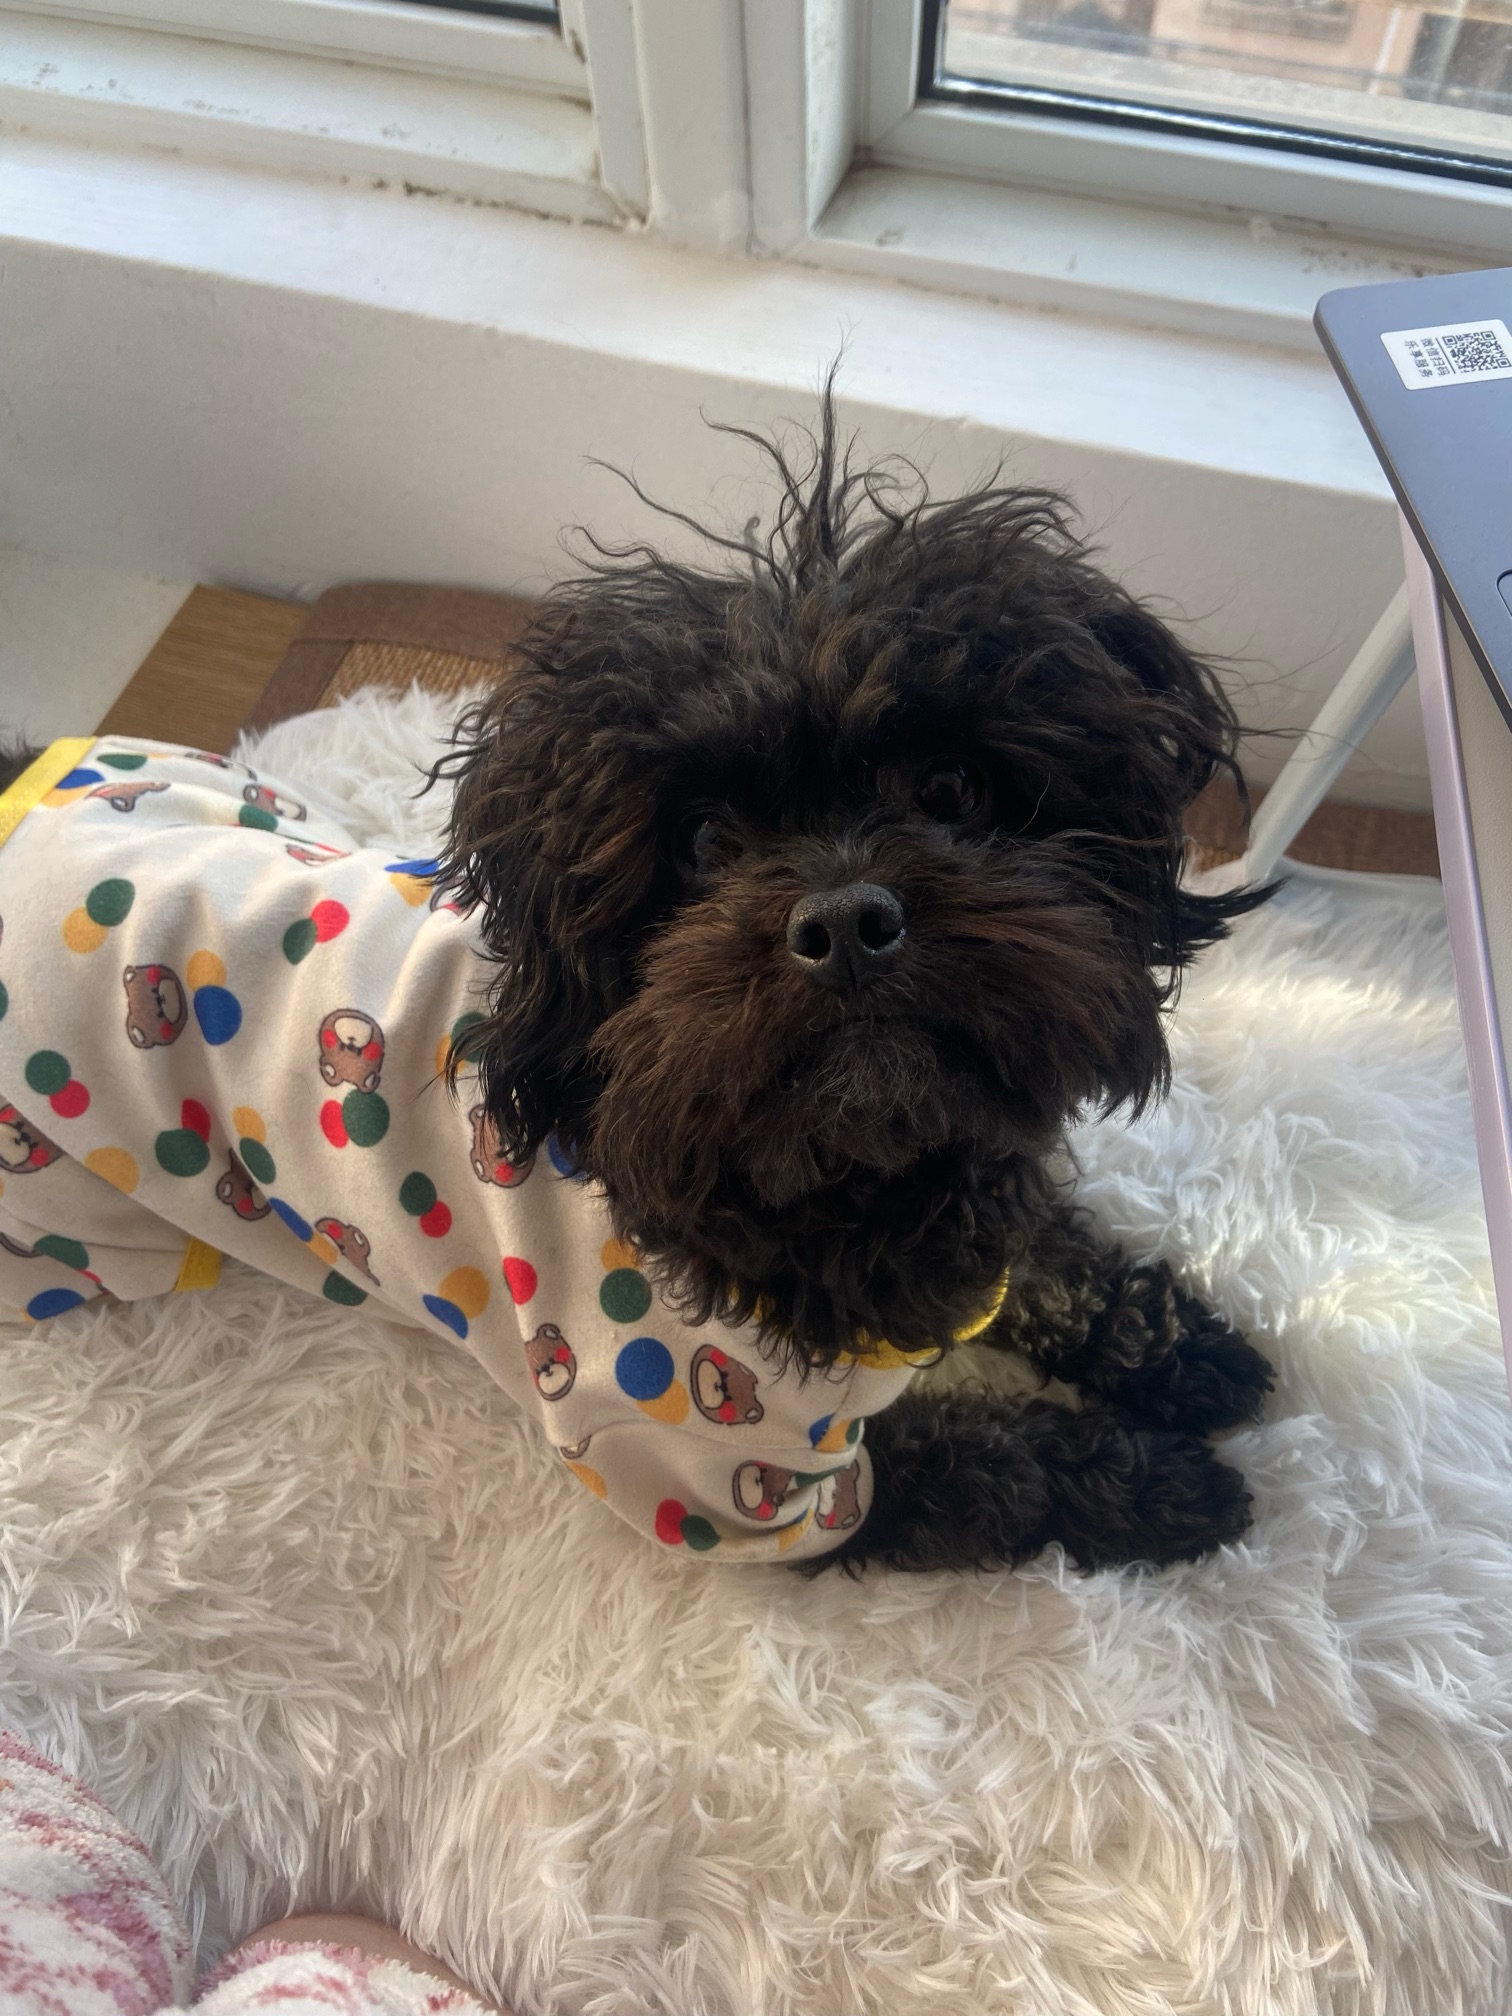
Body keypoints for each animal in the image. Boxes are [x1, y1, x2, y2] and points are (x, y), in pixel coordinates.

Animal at [0, 400, 1275, 1575]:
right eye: (702, 842)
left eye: (953, 787)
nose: (845, 923)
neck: (846, 1185)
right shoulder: (736, 1486)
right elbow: (992, 1468)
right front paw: (1171, 1484)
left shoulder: (979, 1181)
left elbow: (1053, 1253)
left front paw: (1187, 1353)